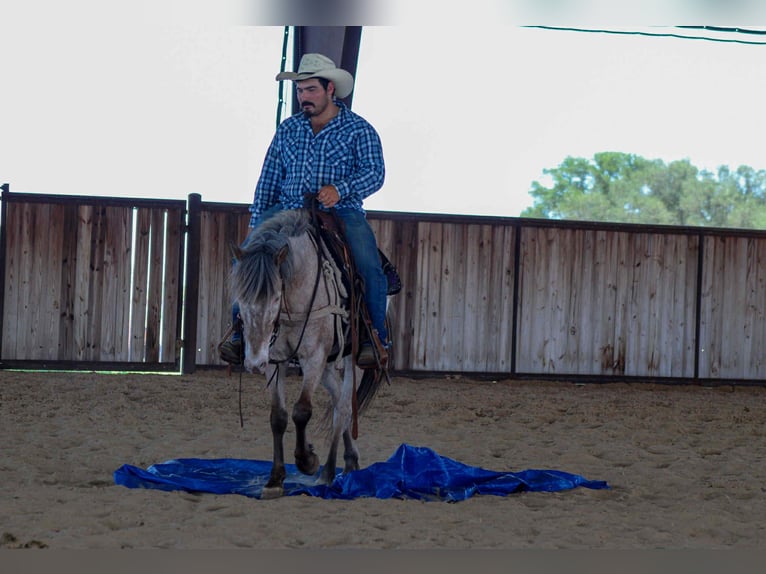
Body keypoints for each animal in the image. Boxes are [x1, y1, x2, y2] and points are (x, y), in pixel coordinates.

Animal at [229, 207, 385, 499]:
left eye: (276, 297)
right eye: (240, 299)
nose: (254, 362)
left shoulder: (313, 356)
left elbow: (302, 410)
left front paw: (307, 461)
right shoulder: (275, 360)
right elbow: (278, 417)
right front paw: (275, 479)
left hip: (353, 360)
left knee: (344, 408)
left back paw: (329, 471)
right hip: (327, 364)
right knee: (337, 400)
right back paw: (350, 461)